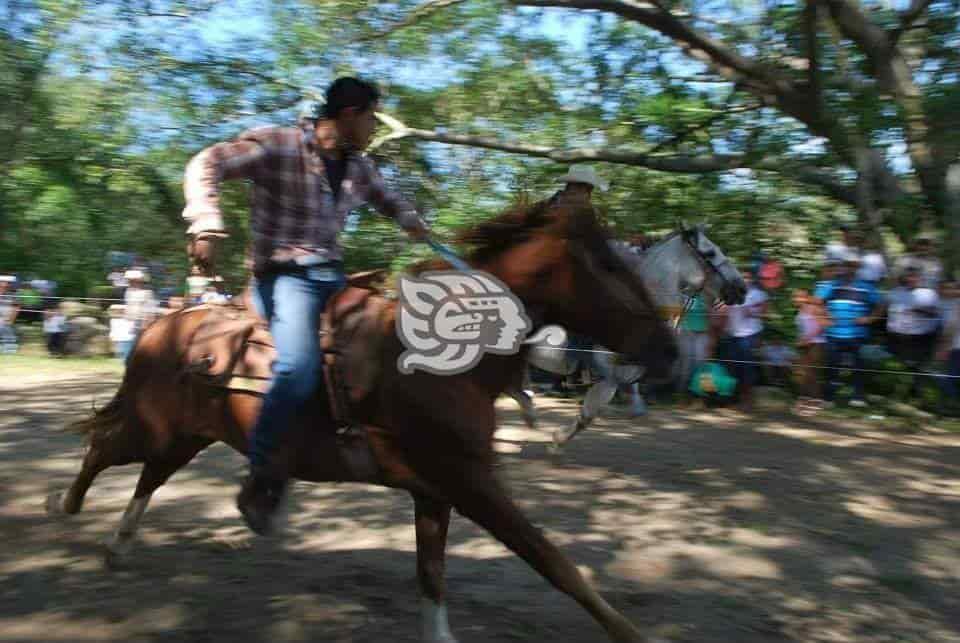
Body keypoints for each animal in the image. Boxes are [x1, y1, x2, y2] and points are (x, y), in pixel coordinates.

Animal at [45, 200, 676, 640]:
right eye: (611, 264)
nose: (668, 349)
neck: (451, 361)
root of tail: (161, 323)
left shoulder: (436, 491)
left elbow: (433, 577)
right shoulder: (472, 482)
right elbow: (556, 564)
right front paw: (631, 633)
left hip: (188, 437)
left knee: (148, 474)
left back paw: (120, 544)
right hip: (156, 427)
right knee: (104, 448)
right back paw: (65, 506)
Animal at [506, 225, 748, 448]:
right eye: (710, 253)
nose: (741, 288)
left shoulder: (626, 376)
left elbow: (624, 410)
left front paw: (558, 438)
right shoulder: (607, 374)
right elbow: (592, 411)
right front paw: (558, 437)